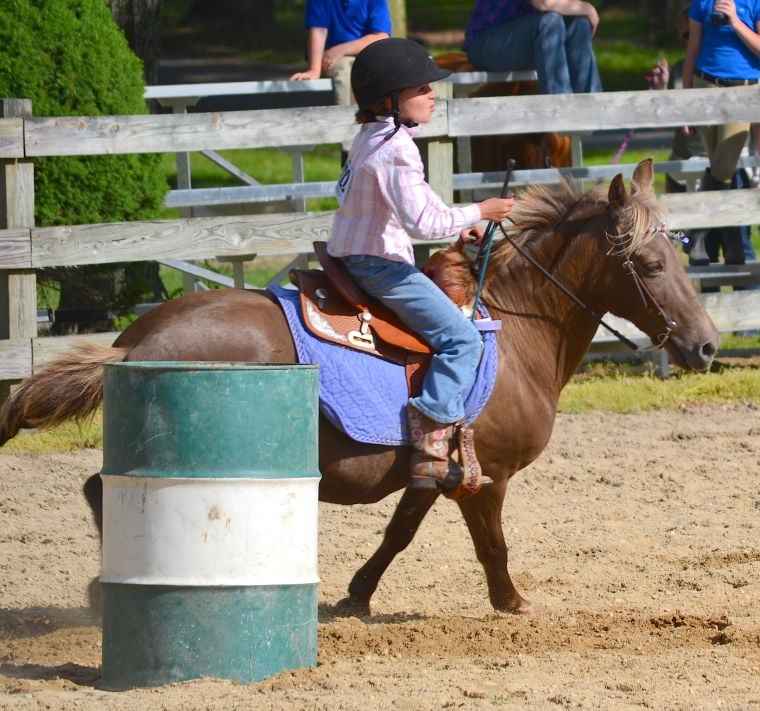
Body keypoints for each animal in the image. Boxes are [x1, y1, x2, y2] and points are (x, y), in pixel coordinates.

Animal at [0, 159, 720, 616]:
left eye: (680, 253)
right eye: (649, 263)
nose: (707, 344)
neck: (512, 327)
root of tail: (134, 340)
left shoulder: (432, 471)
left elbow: (399, 531)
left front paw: (356, 595)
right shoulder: (487, 475)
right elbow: (491, 542)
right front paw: (513, 601)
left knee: (98, 487)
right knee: (103, 489)